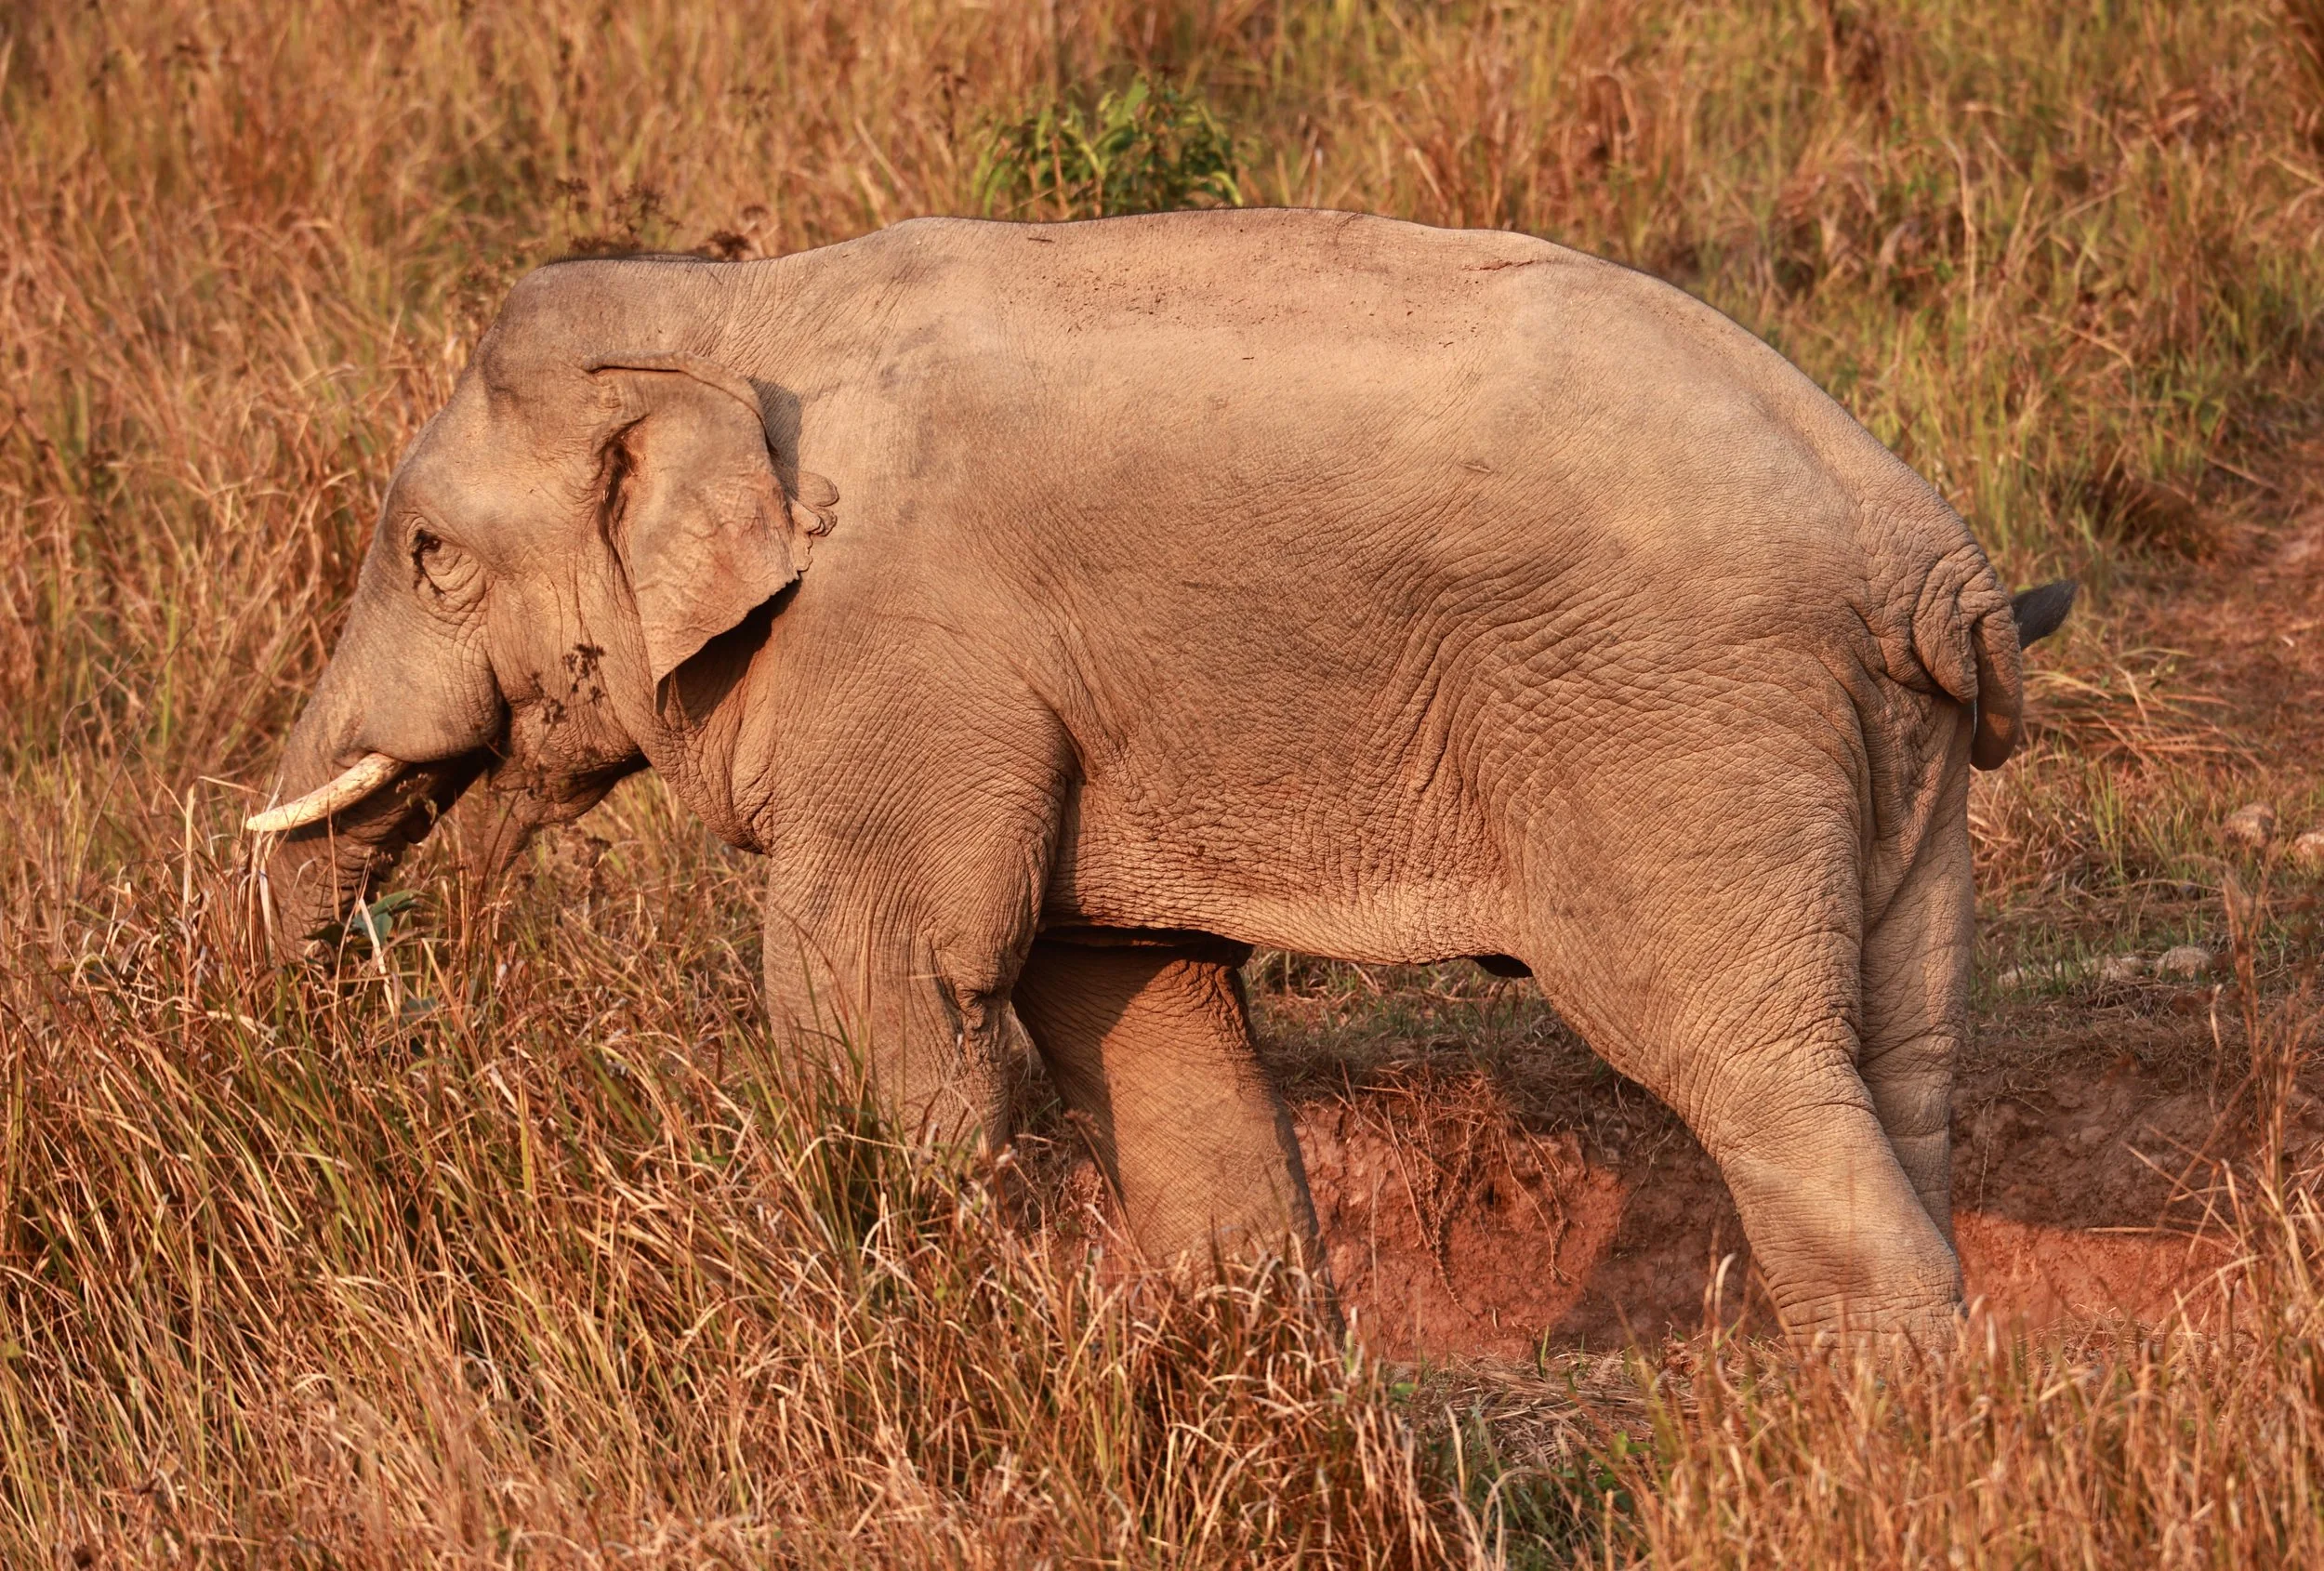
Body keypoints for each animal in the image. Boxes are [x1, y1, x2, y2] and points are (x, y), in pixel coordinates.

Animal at [248, 208, 2073, 1343]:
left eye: (430, 557)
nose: (350, 1044)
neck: (733, 307)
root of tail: (1927, 555)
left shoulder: (908, 654)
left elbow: (878, 994)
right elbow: (1136, 1003)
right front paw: (1256, 1374)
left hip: (1676, 723)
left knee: (1751, 1070)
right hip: (1898, 761)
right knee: (1906, 1062)